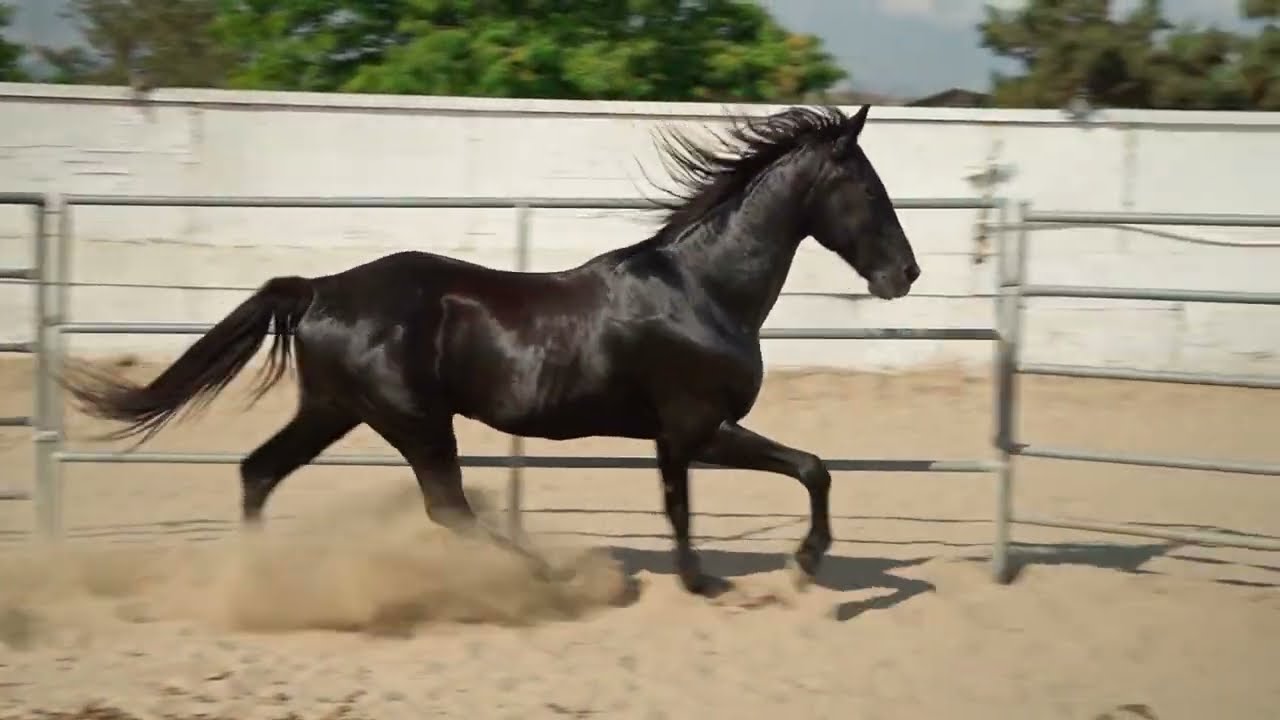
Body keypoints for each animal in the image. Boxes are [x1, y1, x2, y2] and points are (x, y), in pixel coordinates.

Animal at [61, 103, 920, 597]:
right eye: (868, 189)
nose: (904, 275)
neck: (701, 289)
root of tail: (319, 289)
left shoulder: (673, 438)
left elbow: (682, 507)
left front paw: (702, 580)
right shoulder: (702, 427)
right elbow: (810, 469)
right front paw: (802, 562)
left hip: (335, 409)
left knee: (258, 472)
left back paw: (257, 582)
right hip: (413, 421)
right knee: (447, 507)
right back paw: (550, 574)